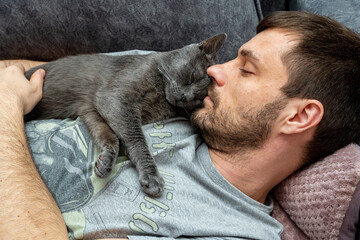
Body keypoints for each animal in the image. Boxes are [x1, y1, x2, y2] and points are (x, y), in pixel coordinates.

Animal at [26, 33, 226, 197]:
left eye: (200, 98)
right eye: (192, 76)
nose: (186, 96)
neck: (161, 96)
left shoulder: (90, 108)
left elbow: (108, 135)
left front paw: (105, 161)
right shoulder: (115, 97)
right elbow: (136, 138)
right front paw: (151, 178)